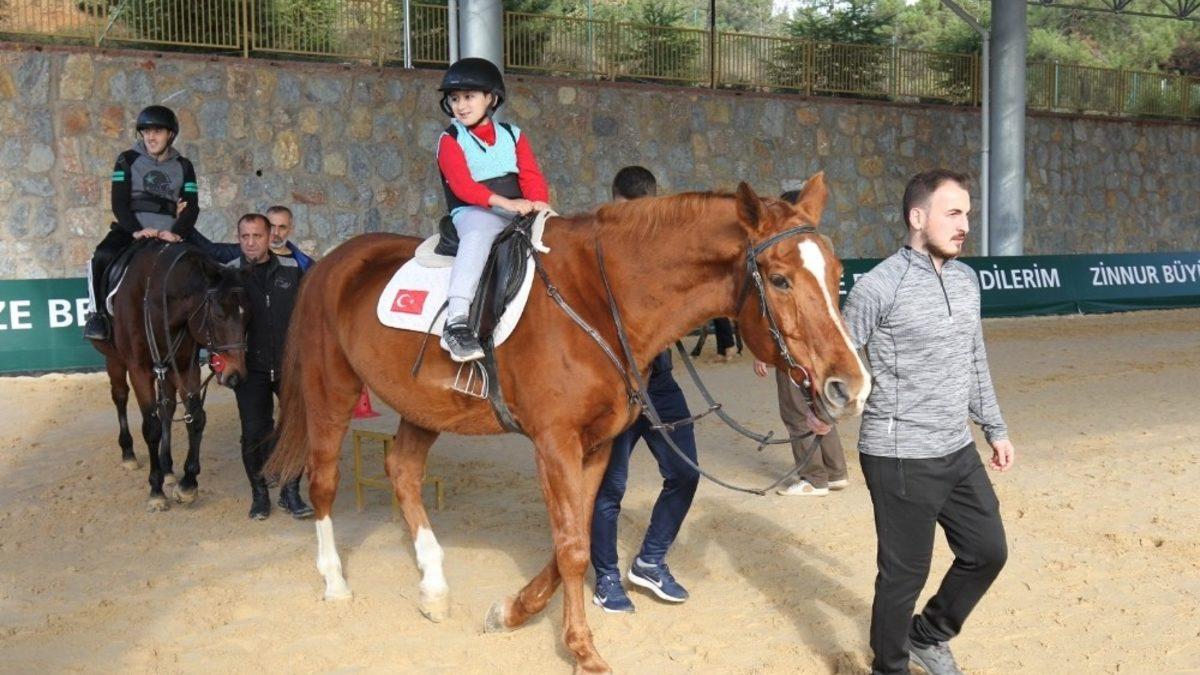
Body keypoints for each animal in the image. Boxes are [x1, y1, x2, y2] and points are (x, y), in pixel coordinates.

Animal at [89, 240, 249, 511]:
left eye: (246, 315)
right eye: (218, 314)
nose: (235, 375)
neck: (157, 301)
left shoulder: (184, 367)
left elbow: (195, 419)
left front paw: (187, 484)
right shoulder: (139, 370)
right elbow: (151, 427)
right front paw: (156, 491)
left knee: (167, 408)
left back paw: (167, 468)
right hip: (115, 361)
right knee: (120, 397)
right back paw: (129, 453)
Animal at [265, 175, 870, 673]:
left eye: (838, 274)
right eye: (780, 280)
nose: (850, 385)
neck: (600, 300)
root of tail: (331, 262)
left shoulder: (596, 444)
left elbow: (571, 537)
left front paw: (513, 611)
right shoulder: (554, 442)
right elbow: (574, 546)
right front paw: (582, 650)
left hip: (423, 407)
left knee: (403, 471)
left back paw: (433, 588)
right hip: (331, 391)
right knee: (324, 482)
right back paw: (335, 582)